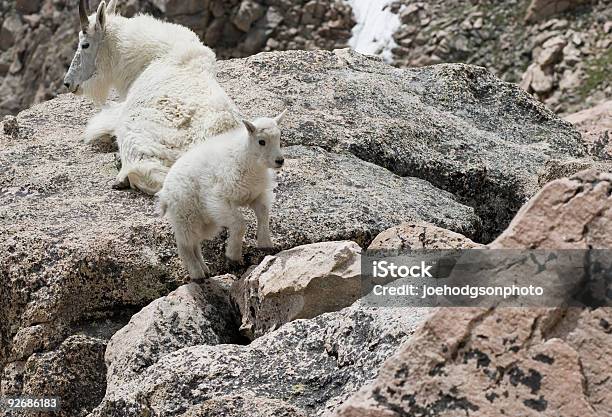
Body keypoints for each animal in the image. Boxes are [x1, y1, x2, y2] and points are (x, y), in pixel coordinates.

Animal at [64, 0, 240, 193]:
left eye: (85, 45)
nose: (68, 83)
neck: (155, 56)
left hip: (137, 136)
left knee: (149, 174)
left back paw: (122, 175)